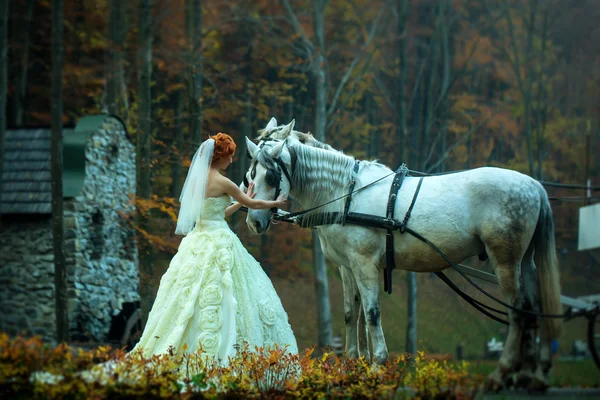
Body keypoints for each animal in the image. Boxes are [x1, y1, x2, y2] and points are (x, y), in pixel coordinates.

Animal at [244, 119, 564, 390]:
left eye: (271, 174)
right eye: (250, 174)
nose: (254, 221)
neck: (345, 192)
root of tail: (534, 185)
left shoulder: (364, 263)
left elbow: (371, 314)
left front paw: (376, 366)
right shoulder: (348, 267)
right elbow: (352, 314)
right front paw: (352, 366)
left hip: (506, 261)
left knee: (518, 311)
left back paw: (502, 373)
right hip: (525, 262)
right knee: (534, 308)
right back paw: (529, 374)